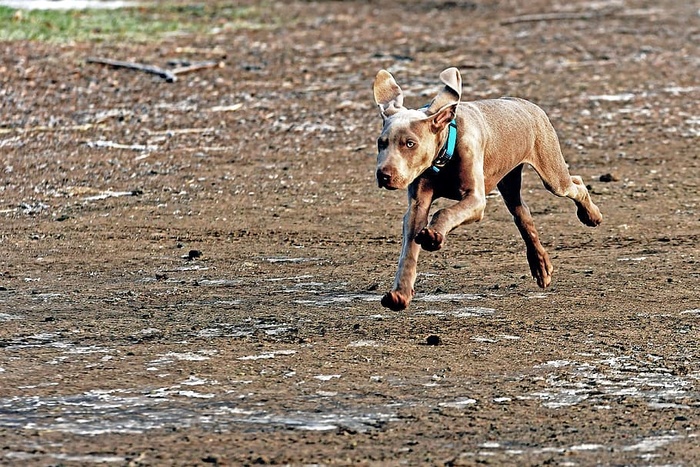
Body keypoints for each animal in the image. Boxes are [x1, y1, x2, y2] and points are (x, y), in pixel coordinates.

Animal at [372, 66, 600, 310]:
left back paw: (591, 216)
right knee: (524, 217)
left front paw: (433, 235)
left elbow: (445, 212)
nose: (383, 175)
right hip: (510, 183)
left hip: (552, 174)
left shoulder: (475, 199)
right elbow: (408, 250)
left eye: (410, 143)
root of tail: (527, 104)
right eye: (381, 143)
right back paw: (541, 268)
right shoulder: (417, 205)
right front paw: (400, 294)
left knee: (575, 184)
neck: (443, 157)